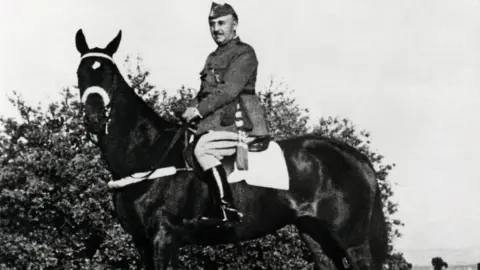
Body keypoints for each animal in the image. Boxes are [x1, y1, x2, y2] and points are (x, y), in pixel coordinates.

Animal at [74, 28, 390, 268]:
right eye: (81, 74)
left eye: (110, 75)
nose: (94, 118)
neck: (148, 154)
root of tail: (356, 158)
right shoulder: (143, 242)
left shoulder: (164, 237)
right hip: (316, 237)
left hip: (353, 241)